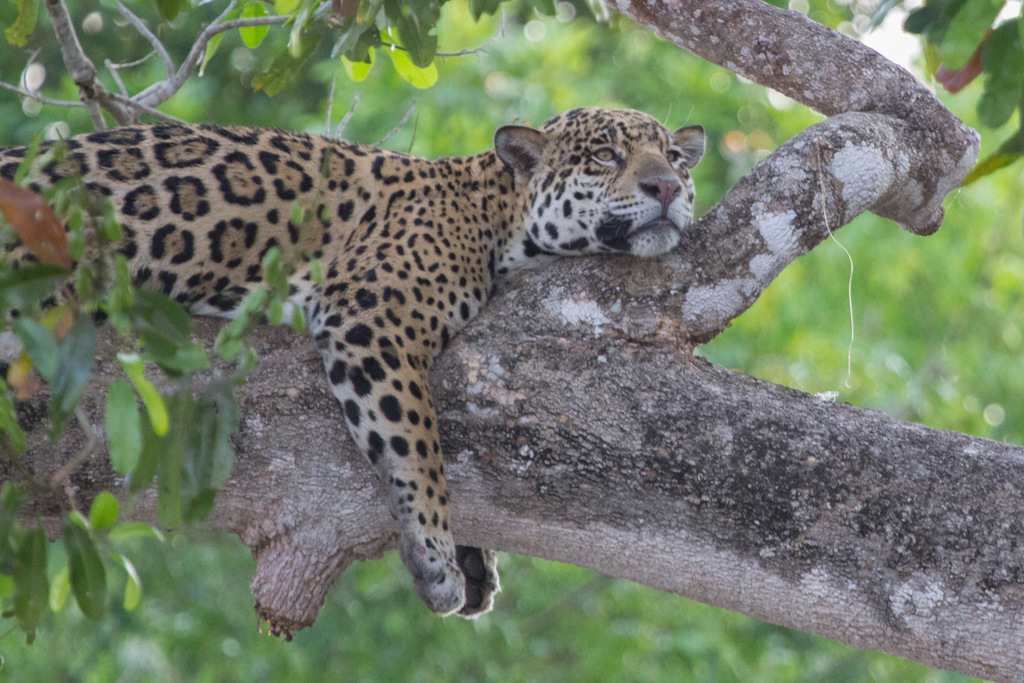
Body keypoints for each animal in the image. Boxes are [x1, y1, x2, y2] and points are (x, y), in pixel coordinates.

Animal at [0, 107, 705, 618]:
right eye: (606, 156)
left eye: (672, 156)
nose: (666, 186)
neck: (492, 216)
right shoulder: (372, 313)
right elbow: (418, 440)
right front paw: (436, 554)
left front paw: (473, 559)